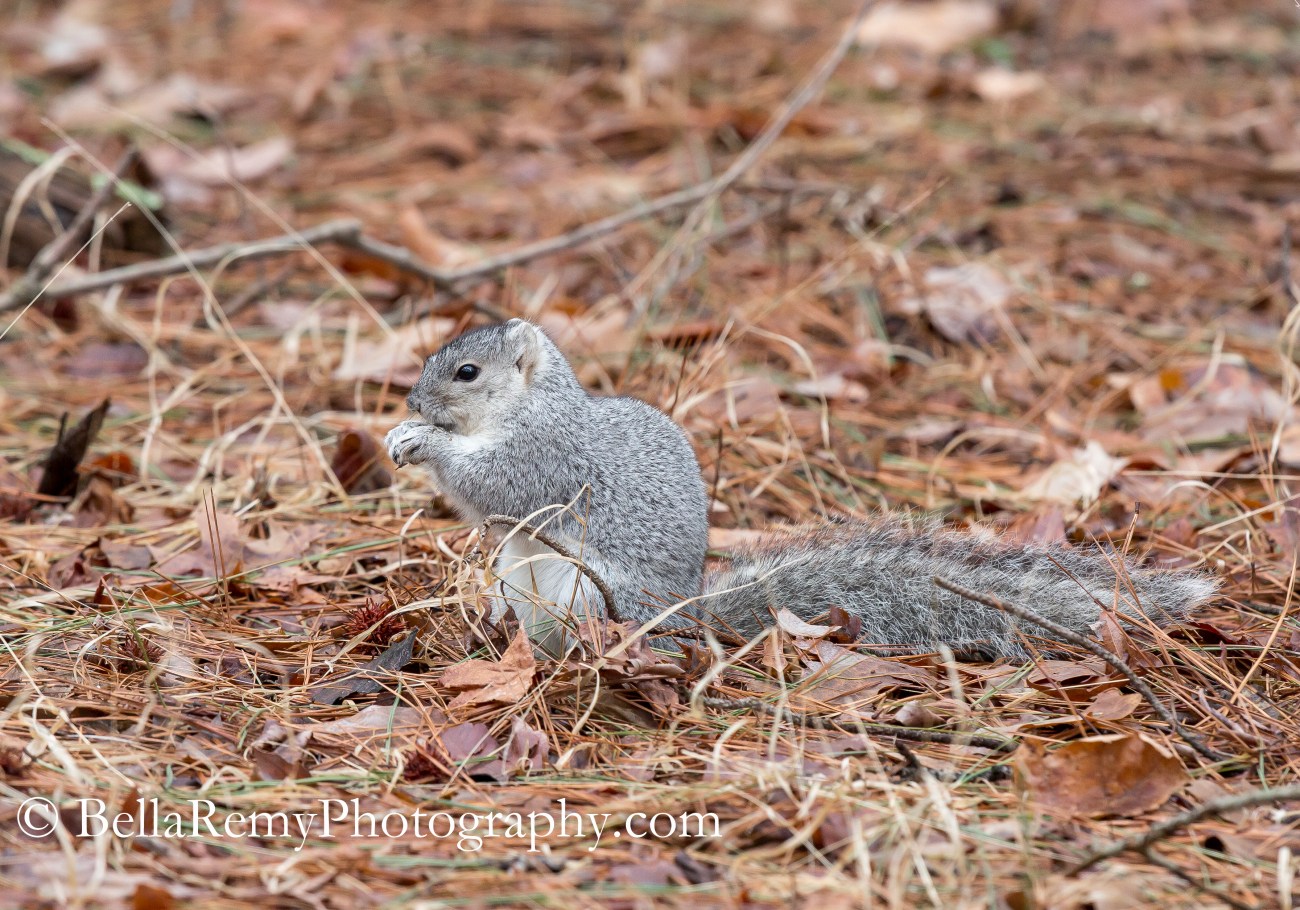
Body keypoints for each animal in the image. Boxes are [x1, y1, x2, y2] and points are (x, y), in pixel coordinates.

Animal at [385, 318, 1217, 659]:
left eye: (467, 372)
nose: (415, 401)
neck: (527, 405)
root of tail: (685, 614)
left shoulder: (548, 455)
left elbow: (496, 482)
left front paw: (425, 444)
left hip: (594, 595)